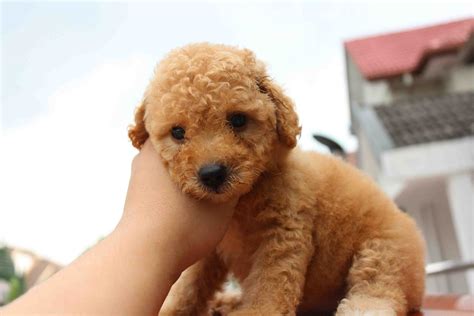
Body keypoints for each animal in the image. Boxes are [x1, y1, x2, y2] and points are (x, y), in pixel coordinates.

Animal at [130, 43, 426, 314]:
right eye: (178, 132)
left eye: (238, 120)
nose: (212, 174)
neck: (245, 198)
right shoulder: (210, 250)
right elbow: (189, 285)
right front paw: (172, 309)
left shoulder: (283, 231)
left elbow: (269, 284)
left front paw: (258, 311)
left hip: (384, 251)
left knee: (380, 291)